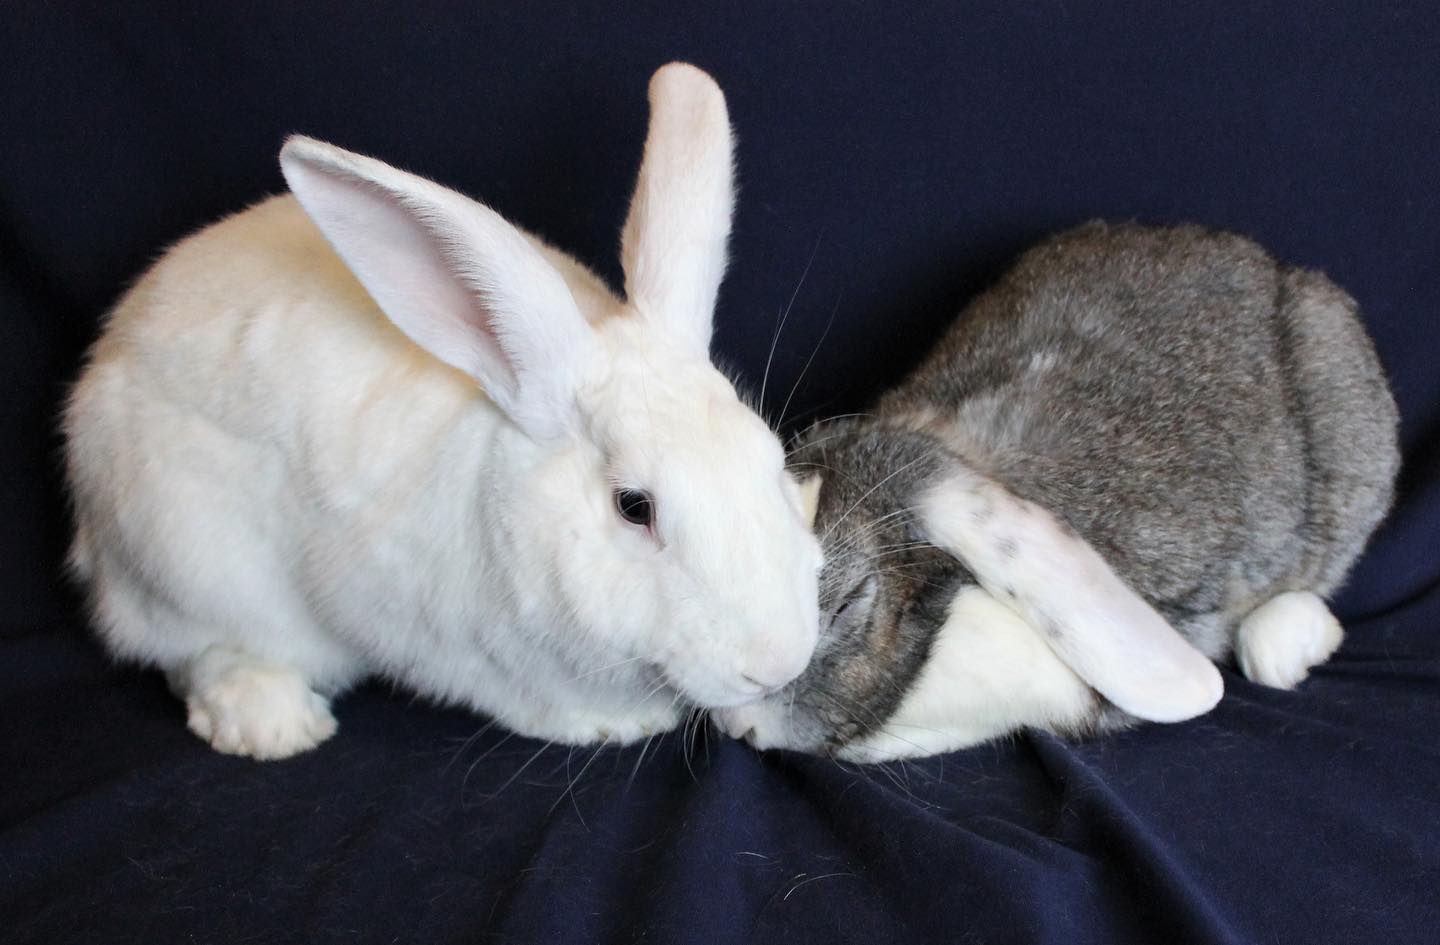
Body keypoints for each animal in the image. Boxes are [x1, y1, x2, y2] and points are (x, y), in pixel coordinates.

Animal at [63, 63, 823, 761]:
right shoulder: (430, 636)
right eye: (634, 507)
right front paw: (610, 724)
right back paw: (274, 723)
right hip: (187, 564)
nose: (780, 659)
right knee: (200, 652)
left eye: (770, 461)